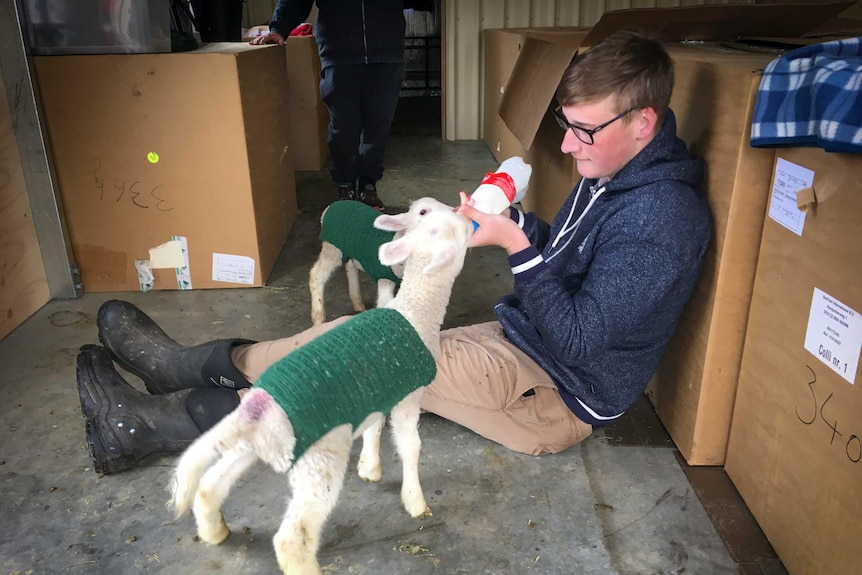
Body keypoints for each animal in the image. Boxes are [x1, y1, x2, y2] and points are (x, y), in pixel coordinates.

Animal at [170, 210, 476, 575]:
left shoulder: (378, 391)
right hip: (319, 461)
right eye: (445, 225)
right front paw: (415, 501)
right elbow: (410, 446)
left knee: (208, 487)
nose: (470, 219)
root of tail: (257, 407)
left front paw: (370, 468)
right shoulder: (408, 395)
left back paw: (214, 531)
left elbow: (373, 428)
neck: (416, 309)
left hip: (254, 444)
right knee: (291, 539)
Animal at [308, 197, 452, 324]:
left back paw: (358, 304)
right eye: (423, 212)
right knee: (317, 274)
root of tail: (330, 206)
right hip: (332, 248)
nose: (454, 211)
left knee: (350, 267)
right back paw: (318, 317)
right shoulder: (384, 278)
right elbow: (385, 303)